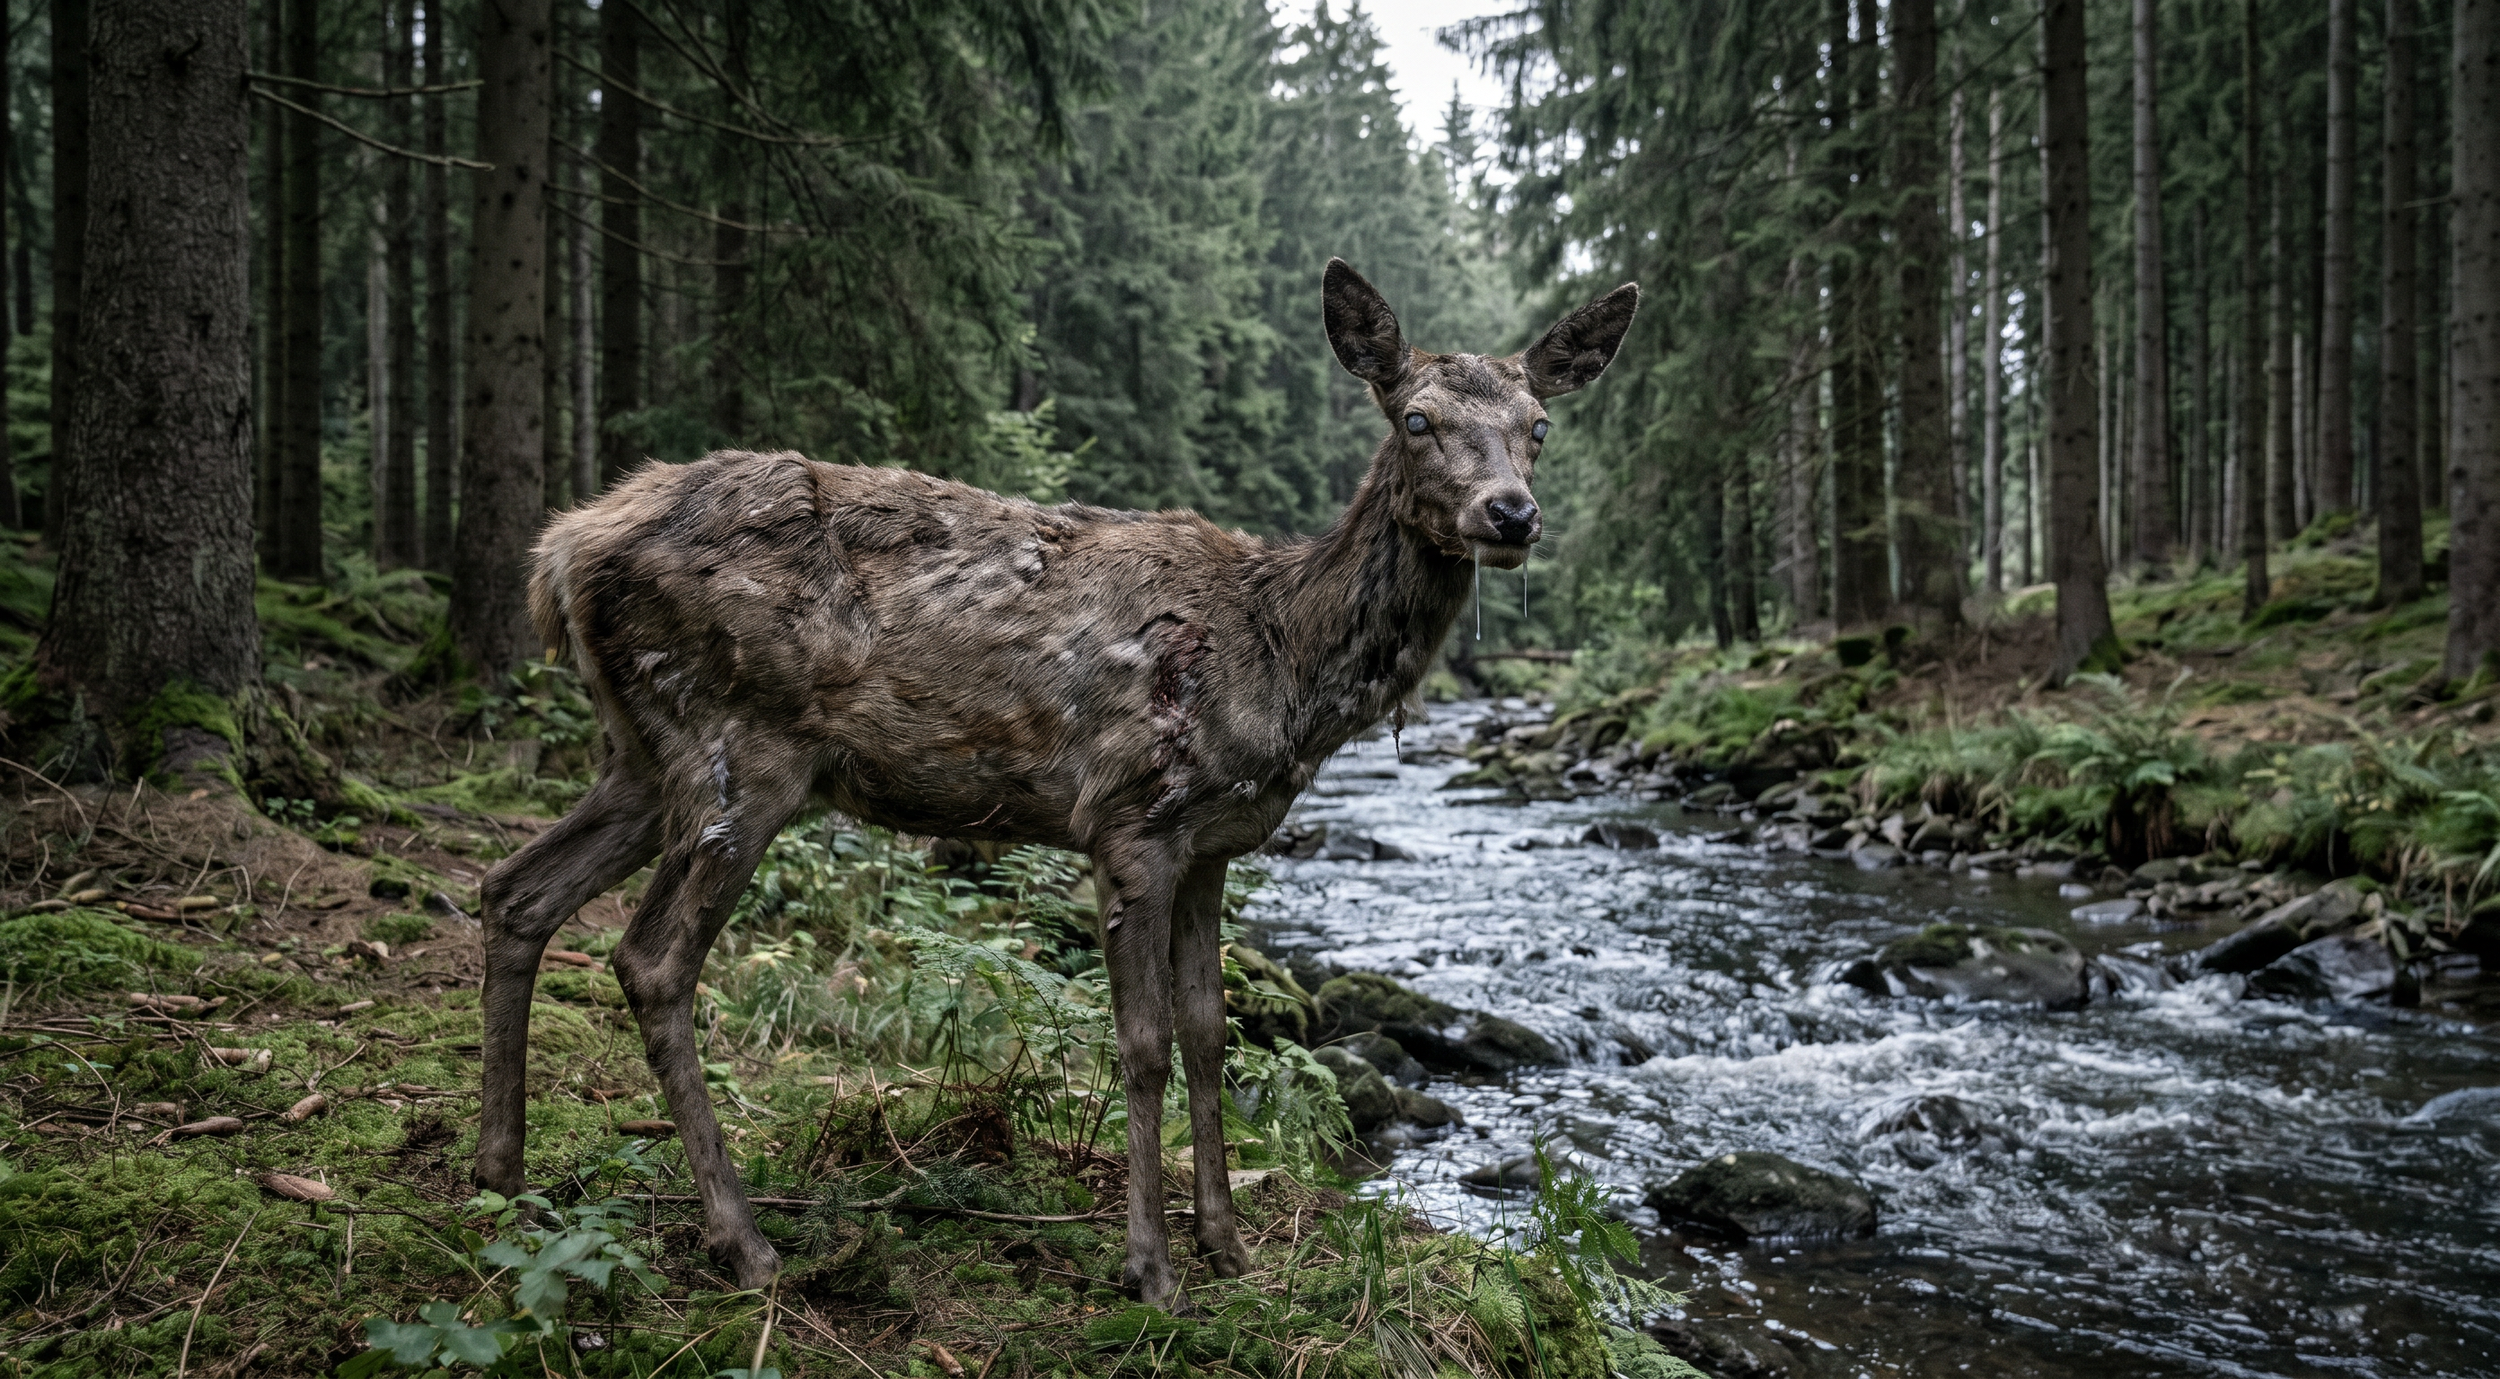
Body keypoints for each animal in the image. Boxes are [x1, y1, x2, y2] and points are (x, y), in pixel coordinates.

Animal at [471, 259, 1638, 1310]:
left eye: (1539, 425)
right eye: (1417, 418)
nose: (1510, 513)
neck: (1283, 657)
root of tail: (560, 549)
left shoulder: (1214, 842)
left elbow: (1212, 1035)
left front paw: (1228, 1246)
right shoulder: (1132, 817)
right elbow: (1142, 1045)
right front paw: (1150, 1270)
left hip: (640, 753)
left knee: (513, 889)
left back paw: (500, 1173)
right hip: (735, 748)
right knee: (651, 958)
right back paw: (744, 1241)